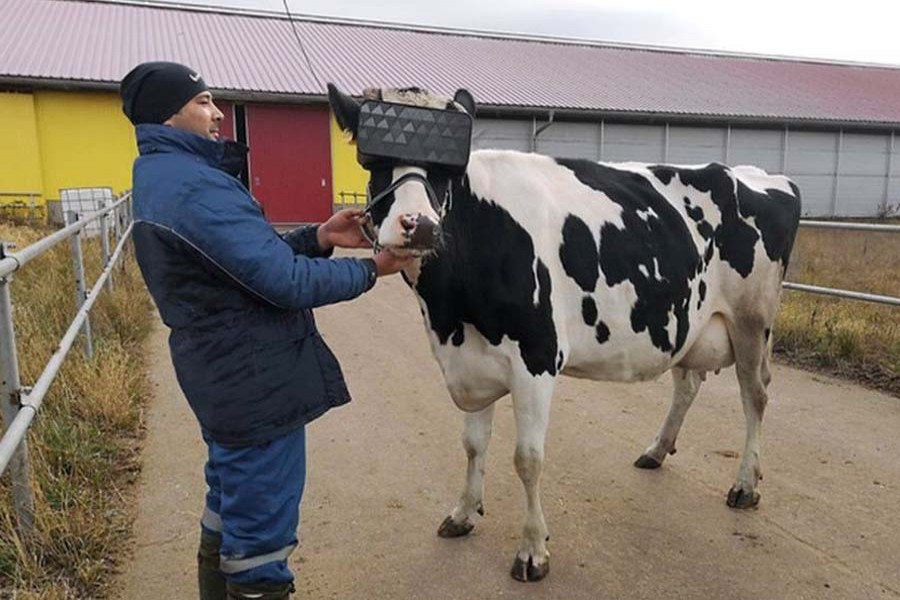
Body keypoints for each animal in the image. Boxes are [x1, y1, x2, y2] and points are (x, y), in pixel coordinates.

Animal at [328, 83, 800, 580]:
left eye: (447, 171)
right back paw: (656, 450)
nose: (418, 225)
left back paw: (745, 485)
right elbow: (473, 445)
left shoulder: (536, 358)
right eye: (373, 163)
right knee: (688, 383)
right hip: (687, 319)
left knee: (755, 395)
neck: (449, 313)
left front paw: (532, 549)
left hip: (752, 320)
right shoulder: (470, 360)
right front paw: (463, 513)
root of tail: (759, 175)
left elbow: (527, 459)